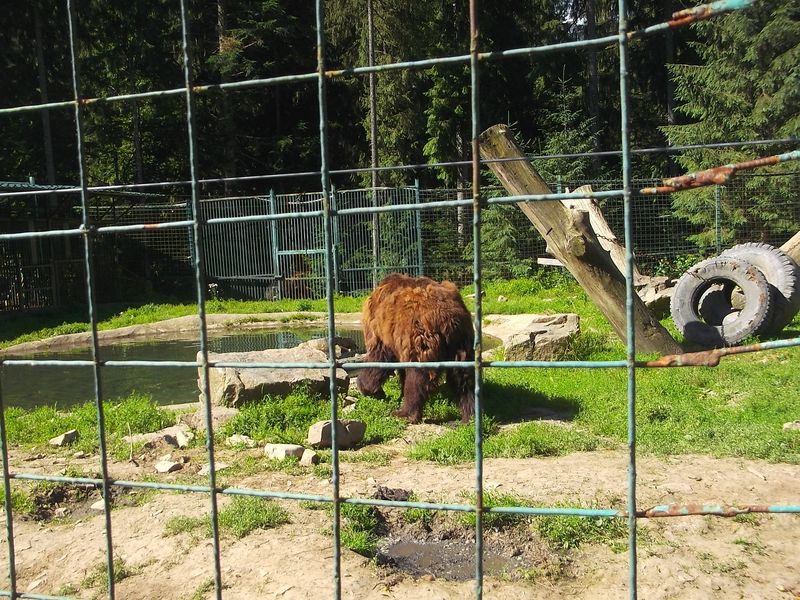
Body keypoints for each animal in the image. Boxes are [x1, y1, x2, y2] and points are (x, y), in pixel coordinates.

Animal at [357, 273, 475, 423]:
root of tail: (447, 317)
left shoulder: (382, 331)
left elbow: (378, 358)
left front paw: (372, 390)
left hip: (420, 338)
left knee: (417, 377)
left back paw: (404, 413)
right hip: (462, 343)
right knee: (464, 379)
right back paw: (469, 416)